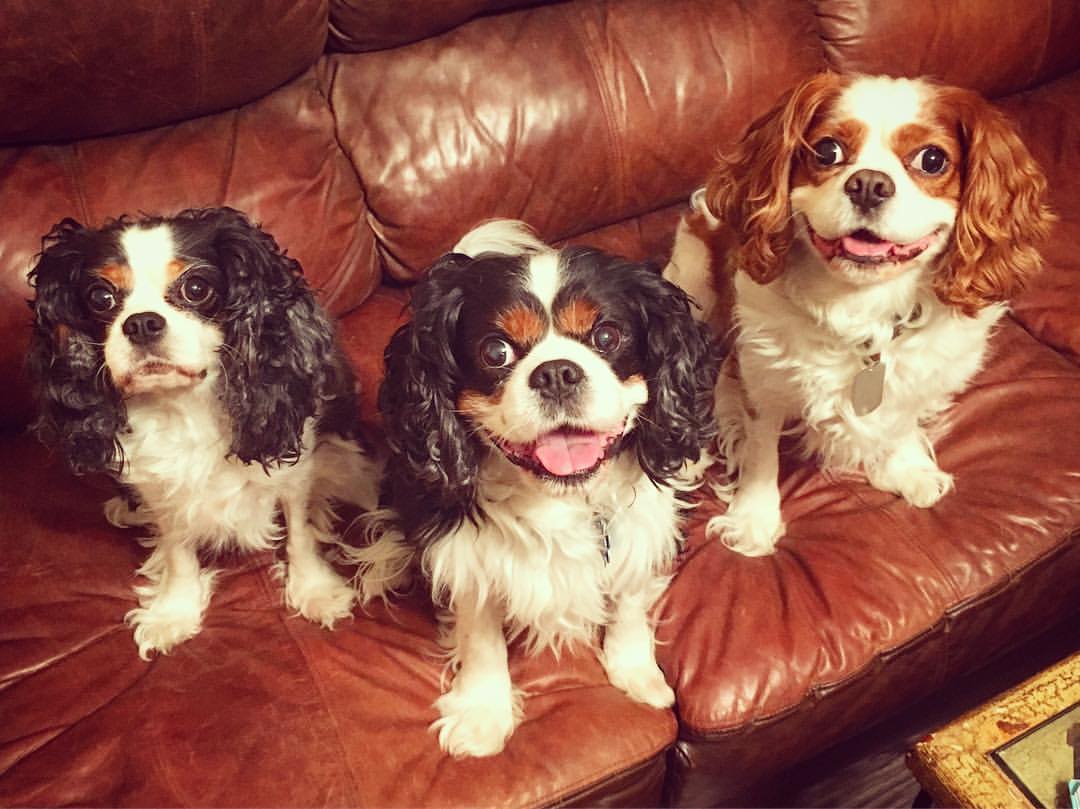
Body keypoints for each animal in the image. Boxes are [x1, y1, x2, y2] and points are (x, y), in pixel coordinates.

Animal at [28, 206, 380, 656]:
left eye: (196, 288)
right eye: (100, 297)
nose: (141, 323)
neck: (183, 407)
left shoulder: (293, 468)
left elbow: (299, 530)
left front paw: (314, 590)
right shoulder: (162, 488)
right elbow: (178, 550)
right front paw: (173, 611)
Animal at [347, 219, 717, 756]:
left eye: (607, 336)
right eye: (495, 351)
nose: (557, 372)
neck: (560, 497)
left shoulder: (640, 531)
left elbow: (628, 601)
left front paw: (635, 672)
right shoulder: (465, 556)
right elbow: (481, 637)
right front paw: (483, 715)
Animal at [665, 72, 1054, 557]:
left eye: (932, 160)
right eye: (827, 151)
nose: (869, 184)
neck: (860, 304)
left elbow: (902, 416)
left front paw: (906, 468)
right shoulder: (759, 374)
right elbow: (761, 449)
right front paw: (753, 519)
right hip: (692, 283)